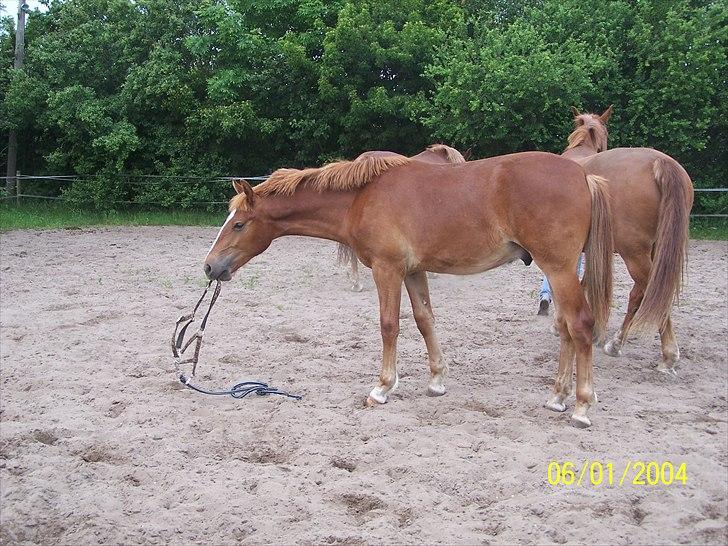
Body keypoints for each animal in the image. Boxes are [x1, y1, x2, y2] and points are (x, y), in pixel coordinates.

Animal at [564, 107, 692, 370]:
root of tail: (659, 162)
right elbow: (588, 282)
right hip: (655, 251)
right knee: (645, 292)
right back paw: (620, 342)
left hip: (634, 253)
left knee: (649, 289)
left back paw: (665, 353)